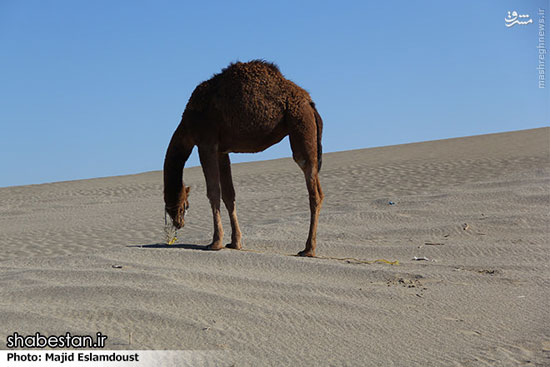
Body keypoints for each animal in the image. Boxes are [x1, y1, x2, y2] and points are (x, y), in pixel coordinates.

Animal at [166, 59, 326, 256]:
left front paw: (215, 242)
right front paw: (235, 242)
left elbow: (213, 192)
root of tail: (310, 103)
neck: (188, 124)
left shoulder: (206, 143)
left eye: (184, 206)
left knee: (312, 184)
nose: (178, 223)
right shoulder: (221, 150)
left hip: (301, 124)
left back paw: (308, 249)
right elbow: (228, 194)